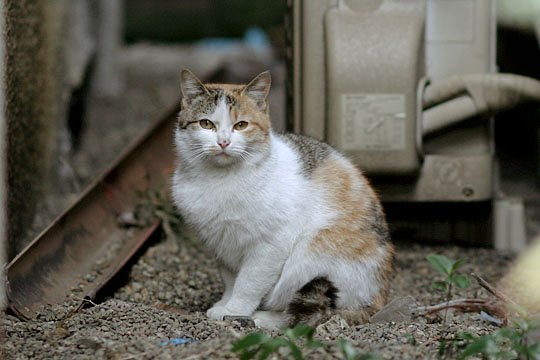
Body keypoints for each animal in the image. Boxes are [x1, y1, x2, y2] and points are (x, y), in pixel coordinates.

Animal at [171, 68, 394, 330]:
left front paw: (234, 311)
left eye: (241, 125)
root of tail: (379, 300)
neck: (220, 179)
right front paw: (224, 304)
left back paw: (262, 318)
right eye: (206, 124)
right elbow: (231, 280)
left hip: (308, 262)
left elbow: (248, 283)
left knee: (313, 313)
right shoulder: (222, 245)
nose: (223, 142)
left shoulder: (270, 245)